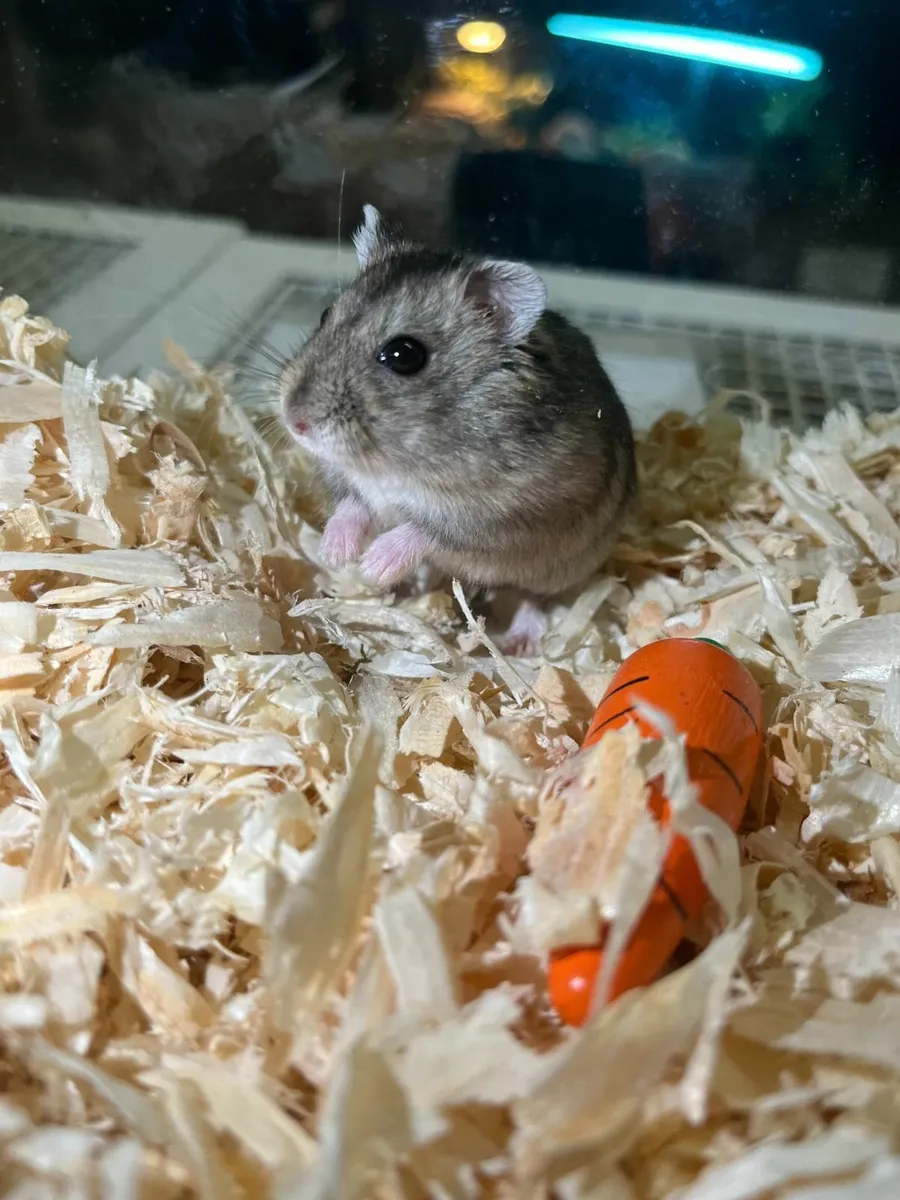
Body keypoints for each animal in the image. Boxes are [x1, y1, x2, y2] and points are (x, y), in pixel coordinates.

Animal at [281, 205, 637, 615]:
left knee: (533, 596)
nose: (294, 422)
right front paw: (335, 554)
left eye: (404, 355)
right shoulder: (341, 476)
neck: (393, 463)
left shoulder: (508, 516)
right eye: (325, 315)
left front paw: (373, 565)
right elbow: (352, 503)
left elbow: (427, 530)